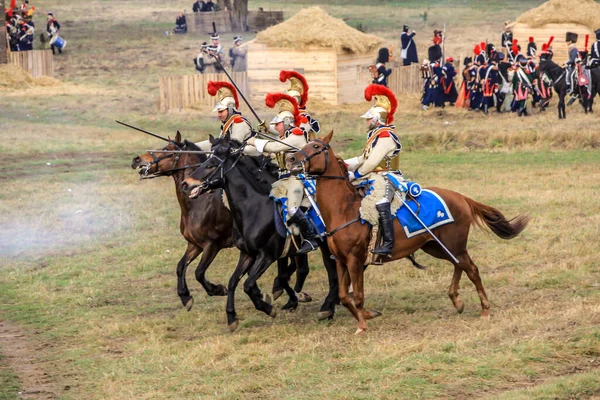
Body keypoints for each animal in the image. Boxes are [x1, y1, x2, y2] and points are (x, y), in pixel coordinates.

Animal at [180, 135, 340, 332]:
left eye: (211, 165)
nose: (186, 183)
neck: (253, 209)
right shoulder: (247, 254)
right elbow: (233, 281)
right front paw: (231, 317)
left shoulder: (266, 256)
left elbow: (249, 284)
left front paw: (268, 307)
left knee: (331, 270)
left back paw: (328, 306)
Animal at [288, 132, 528, 334]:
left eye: (316, 146)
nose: (291, 160)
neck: (345, 209)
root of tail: (461, 197)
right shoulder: (340, 260)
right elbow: (344, 296)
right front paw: (368, 315)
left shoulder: (355, 260)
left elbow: (357, 295)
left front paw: (363, 325)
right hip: (436, 246)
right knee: (460, 265)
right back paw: (456, 300)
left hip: (453, 245)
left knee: (472, 269)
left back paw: (484, 308)